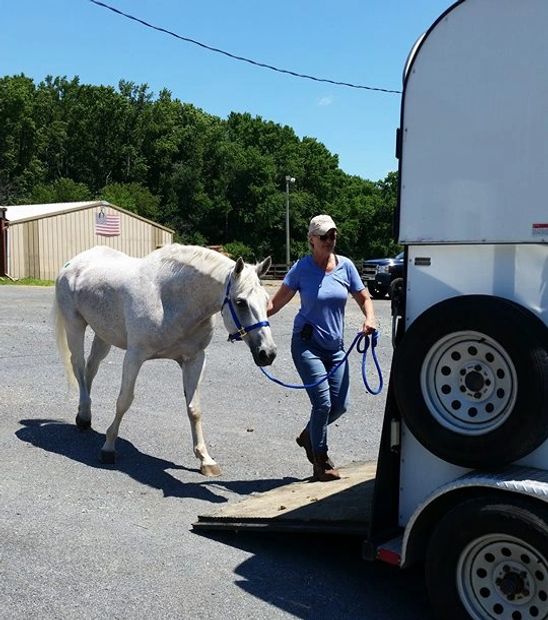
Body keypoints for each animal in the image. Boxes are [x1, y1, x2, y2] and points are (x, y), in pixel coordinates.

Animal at [53, 245, 276, 478]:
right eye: (240, 302)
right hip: (75, 325)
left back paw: (84, 415)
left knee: (91, 368)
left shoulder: (194, 359)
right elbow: (123, 401)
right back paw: (83, 417)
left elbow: (194, 409)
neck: (168, 299)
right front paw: (108, 448)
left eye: (266, 299)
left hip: (103, 334)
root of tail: (73, 264)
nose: (267, 353)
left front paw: (205, 460)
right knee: (78, 366)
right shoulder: (134, 356)